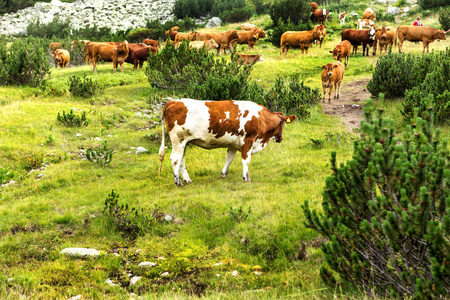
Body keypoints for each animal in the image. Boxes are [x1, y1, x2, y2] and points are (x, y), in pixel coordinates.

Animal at [160, 99, 298, 186]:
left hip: (184, 143)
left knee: (181, 161)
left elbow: (229, 158)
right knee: (175, 159)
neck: (261, 118)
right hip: (178, 141)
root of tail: (174, 101)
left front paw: (223, 174)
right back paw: (178, 182)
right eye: (283, 125)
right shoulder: (248, 140)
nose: (280, 139)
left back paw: (187, 180)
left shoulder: (233, 144)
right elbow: (246, 160)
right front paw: (246, 178)